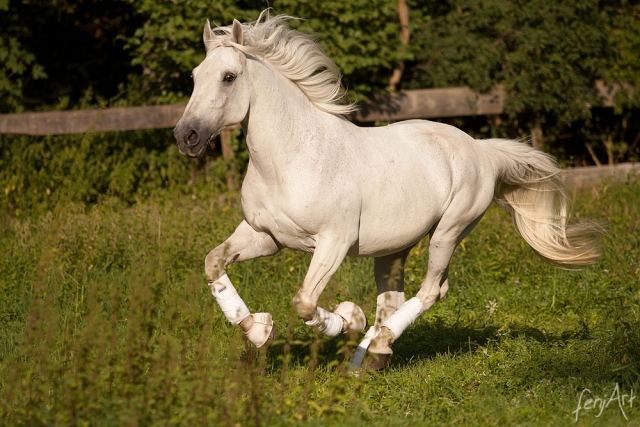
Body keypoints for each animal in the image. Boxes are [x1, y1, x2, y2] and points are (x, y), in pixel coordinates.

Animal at [174, 11, 600, 370]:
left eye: (229, 77)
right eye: (195, 77)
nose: (186, 136)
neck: (293, 159)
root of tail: (482, 150)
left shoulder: (333, 242)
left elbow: (304, 302)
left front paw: (347, 318)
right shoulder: (266, 236)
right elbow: (213, 263)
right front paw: (260, 330)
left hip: (448, 232)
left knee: (433, 290)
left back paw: (374, 348)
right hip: (394, 247)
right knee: (392, 298)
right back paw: (369, 357)